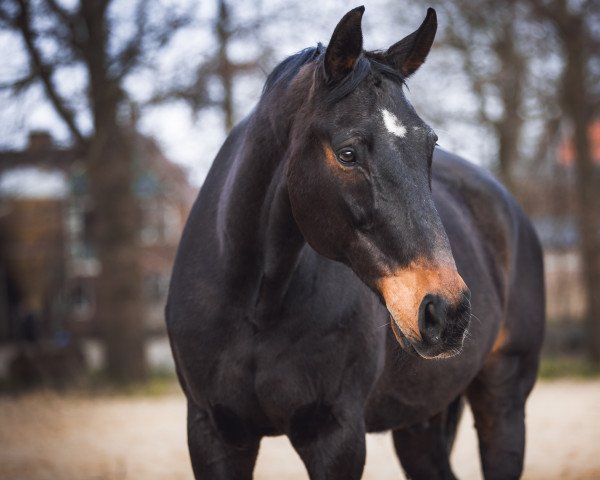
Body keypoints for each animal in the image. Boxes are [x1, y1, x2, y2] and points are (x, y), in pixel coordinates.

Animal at [166, 5, 548, 478]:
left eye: (430, 145)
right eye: (348, 153)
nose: (447, 311)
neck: (255, 306)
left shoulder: (336, 436)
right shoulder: (213, 433)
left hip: (504, 397)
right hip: (420, 421)